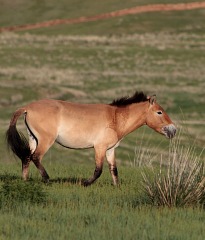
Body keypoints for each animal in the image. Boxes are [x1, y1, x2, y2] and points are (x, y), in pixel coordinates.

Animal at [6, 92, 176, 186]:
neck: (115, 118)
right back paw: (47, 180)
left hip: (33, 139)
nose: (173, 130)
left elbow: (114, 170)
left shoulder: (110, 150)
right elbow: (98, 170)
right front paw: (85, 183)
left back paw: (25, 180)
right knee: (36, 157)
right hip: (46, 140)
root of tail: (27, 108)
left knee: (27, 157)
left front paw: (117, 187)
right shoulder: (99, 148)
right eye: (159, 112)